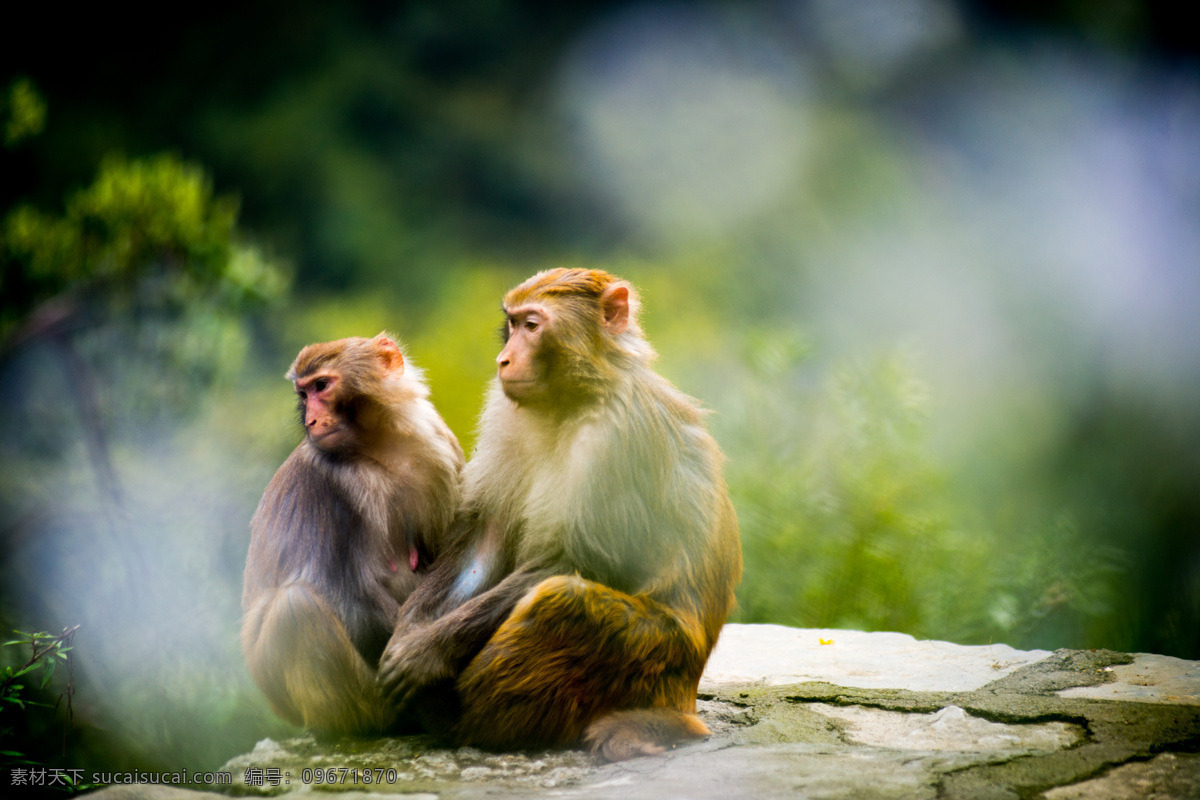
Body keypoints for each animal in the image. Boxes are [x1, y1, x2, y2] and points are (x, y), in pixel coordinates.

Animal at [242, 333, 463, 738]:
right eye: (303, 394)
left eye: (321, 386)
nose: (311, 419)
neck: (380, 447)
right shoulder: (324, 482)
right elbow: (348, 597)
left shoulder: (440, 450)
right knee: (296, 609)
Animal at [379, 271, 739, 762]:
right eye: (511, 325)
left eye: (533, 326)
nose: (503, 359)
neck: (576, 399)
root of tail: (683, 700)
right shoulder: (507, 416)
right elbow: (482, 546)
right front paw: (410, 631)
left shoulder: (619, 436)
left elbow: (581, 560)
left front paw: (425, 655)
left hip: (656, 662)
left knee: (563, 601)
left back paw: (460, 719)